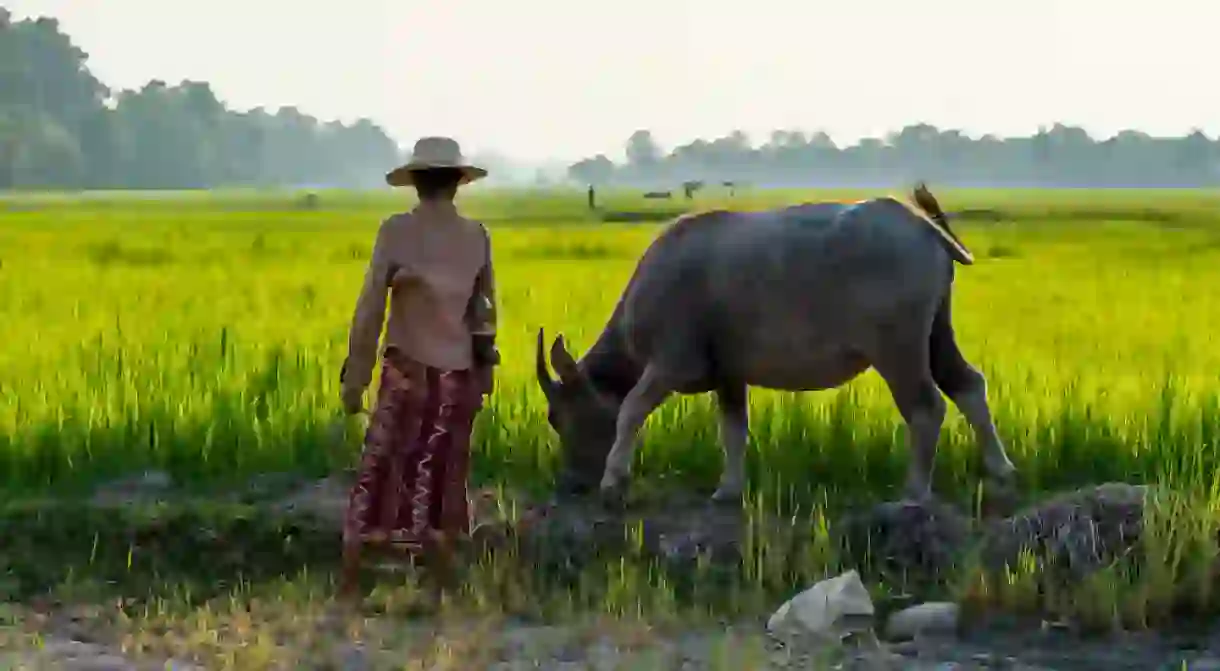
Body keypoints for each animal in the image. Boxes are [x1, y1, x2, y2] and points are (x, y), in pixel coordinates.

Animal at [539, 184, 1015, 509]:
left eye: (557, 418)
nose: (571, 484)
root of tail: (924, 228)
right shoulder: (729, 376)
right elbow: (733, 430)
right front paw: (728, 489)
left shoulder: (669, 364)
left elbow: (631, 410)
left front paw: (613, 480)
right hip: (936, 335)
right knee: (968, 384)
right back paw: (1001, 470)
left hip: (898, 348)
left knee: (926, 406)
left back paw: (915, 492)